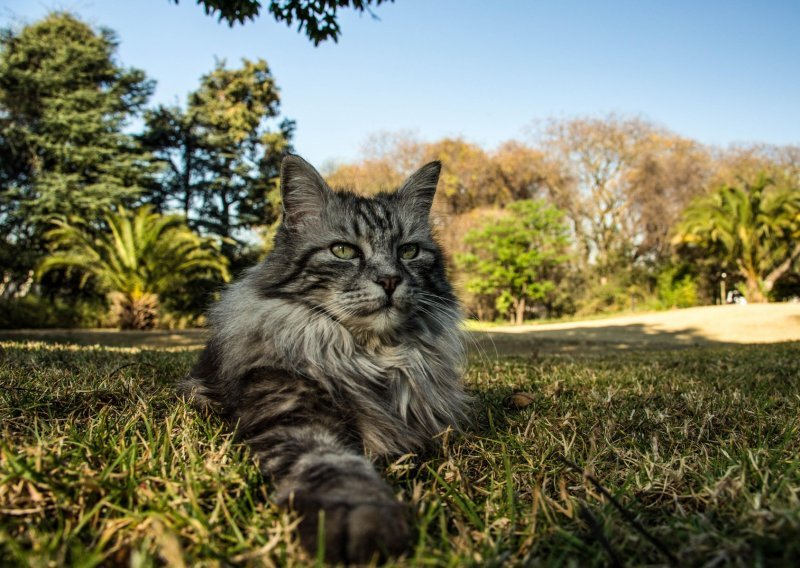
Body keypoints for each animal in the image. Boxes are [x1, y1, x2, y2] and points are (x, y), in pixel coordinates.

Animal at [180, 154, 468, 564]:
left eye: (408, 252)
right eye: (344, 251)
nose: (390, 280)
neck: (370, 355)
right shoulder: (292, 410)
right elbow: (334, 464)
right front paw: (361, 517)